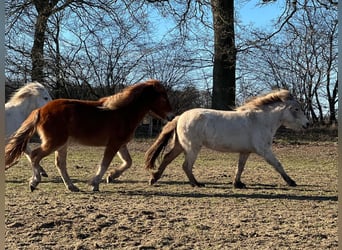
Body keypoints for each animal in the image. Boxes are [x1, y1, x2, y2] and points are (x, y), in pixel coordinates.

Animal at [6, 79, 174, 191]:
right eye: (163, 97)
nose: (172, 116)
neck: (123, 112)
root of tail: (40, 110)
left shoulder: (121, 144)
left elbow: (128, 162)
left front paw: (111, 176)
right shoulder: (113, 144)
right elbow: (105, 163)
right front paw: (95, 183)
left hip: (61, 144)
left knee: (59, 164)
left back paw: (71, 186)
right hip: (54, 142)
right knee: (35, 155)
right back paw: (34, 182)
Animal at [144, 89, 310, 188]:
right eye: (296, 109)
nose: (307, 124)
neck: (260, 121)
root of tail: (180, 117)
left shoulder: (245, 152)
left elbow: (240, 167)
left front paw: (238, 183)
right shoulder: (264, 150)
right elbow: (277, 165)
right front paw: (291, 182)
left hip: (181, 146)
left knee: (167, 158)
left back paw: (154, 178)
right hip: (192, 148)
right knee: (186, 166)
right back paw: (196, 184)